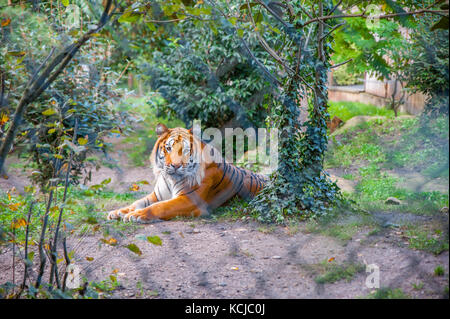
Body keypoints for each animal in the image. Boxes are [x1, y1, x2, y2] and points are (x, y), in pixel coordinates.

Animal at [105, 124, 268, 224]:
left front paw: (137, 215)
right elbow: (137, 203)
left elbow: (160, 207)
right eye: (168, 148)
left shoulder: (189, 199)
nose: (176, 166)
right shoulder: (156, 195)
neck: (170, 179)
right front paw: (118, 212)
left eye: (185, 150)